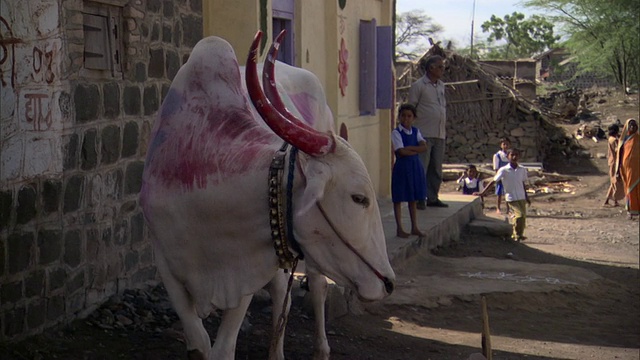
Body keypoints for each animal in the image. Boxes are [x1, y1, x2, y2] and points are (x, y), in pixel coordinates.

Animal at [139, 31, 396, 360]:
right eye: (359, 198)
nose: (388, 283)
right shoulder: (167, 264)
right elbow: (199, 345)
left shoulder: (244, 273)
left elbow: (223, 349)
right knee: (280, 292)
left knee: (316, 288)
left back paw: (320, 349)